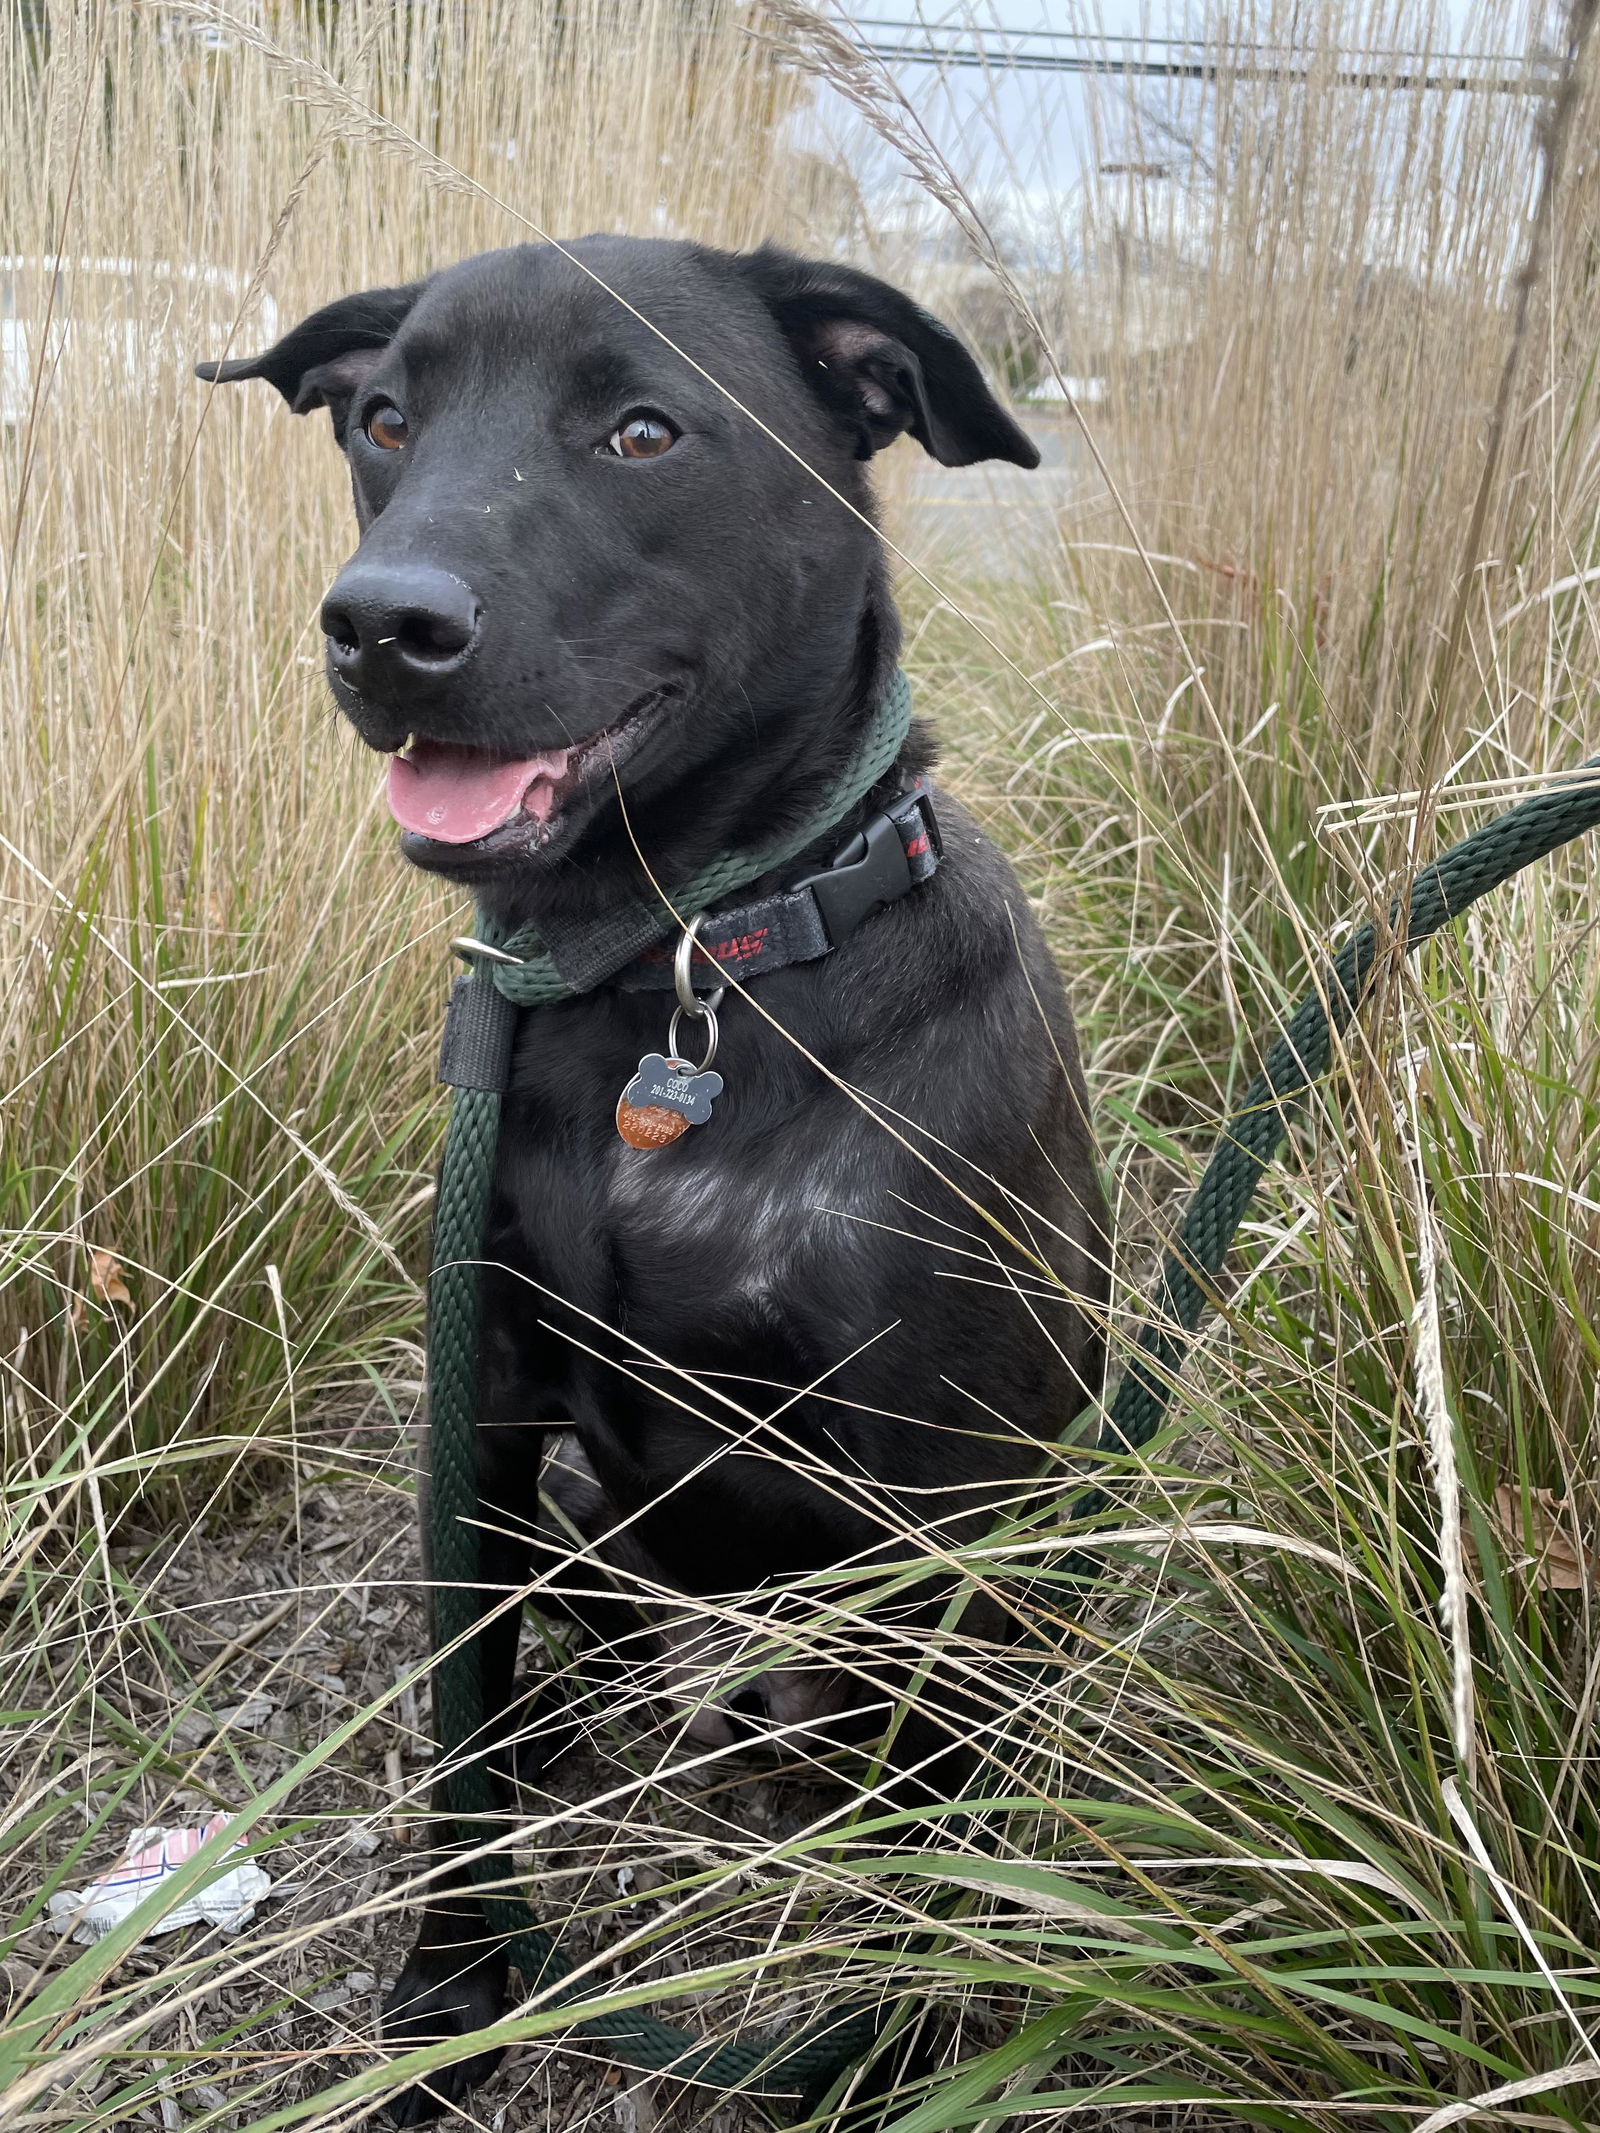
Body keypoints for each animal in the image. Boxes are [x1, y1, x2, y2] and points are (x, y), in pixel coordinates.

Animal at [200, 237, 1109, 2115]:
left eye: (641, 431)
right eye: (383, 417)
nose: (381, 625)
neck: (682, 971)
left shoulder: (950, 1502)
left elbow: (932, 1852)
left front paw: (893, 2050)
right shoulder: (484, 1413)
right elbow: (459, 1773)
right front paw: (458, 1986)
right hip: (580, 1523)